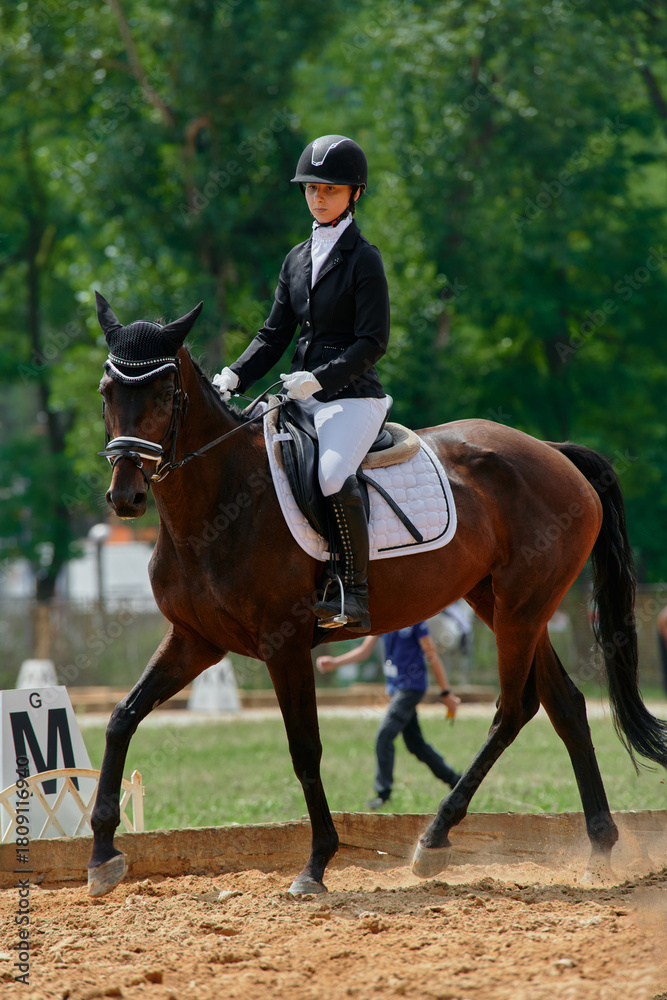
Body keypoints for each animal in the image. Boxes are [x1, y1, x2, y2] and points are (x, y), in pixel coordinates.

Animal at [87, 293, 667, 897]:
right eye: (107, 392)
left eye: (163, 394)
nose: (125, 496)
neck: (217, 502)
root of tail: (552, 452)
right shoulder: (194, 639)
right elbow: (122, 717)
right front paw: (103, 854)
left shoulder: (283, 644)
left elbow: (305, 749)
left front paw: (316, 864)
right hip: (505, 605)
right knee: (565, 706)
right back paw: (598, 848)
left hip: (522, 609)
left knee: (513, 710)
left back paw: (434, 840)